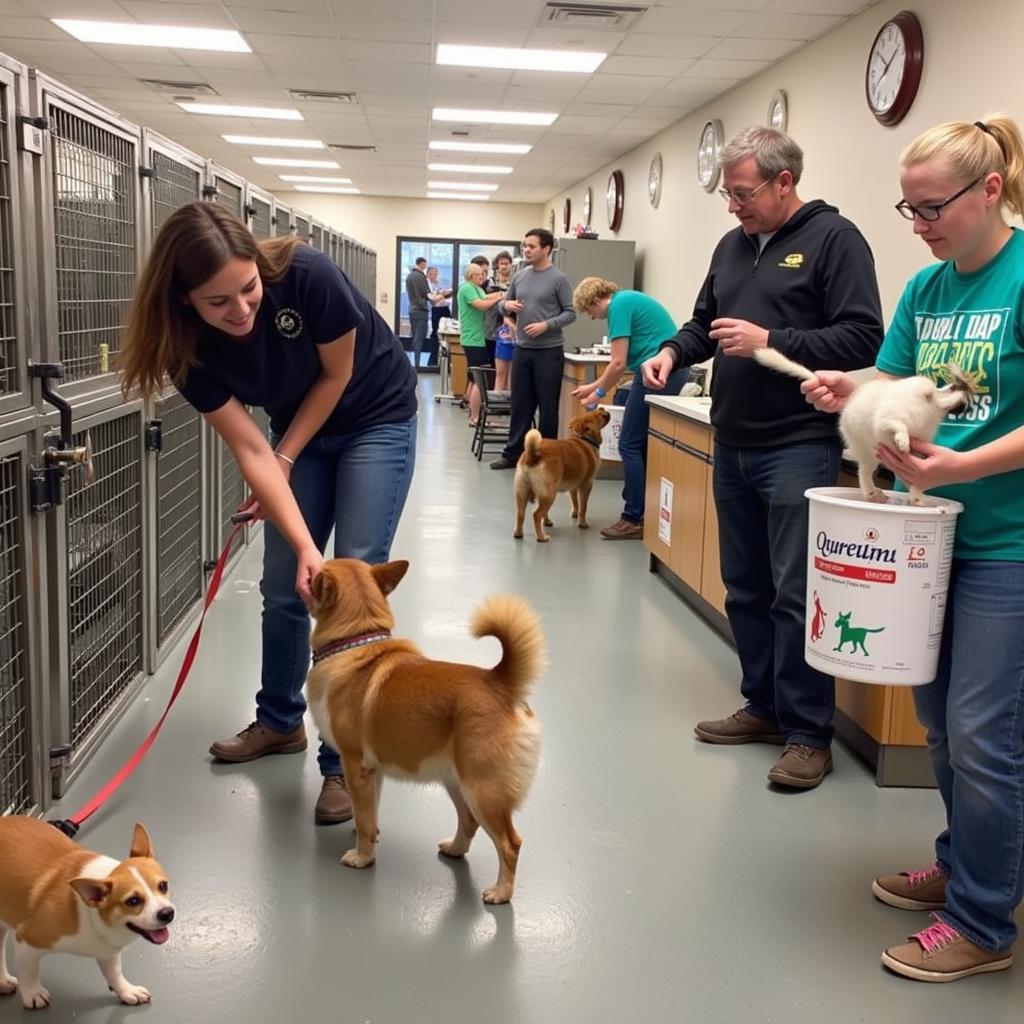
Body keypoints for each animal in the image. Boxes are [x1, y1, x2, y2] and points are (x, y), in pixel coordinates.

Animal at [303, 561, 544, 905]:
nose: (307, 572)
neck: (356, 642)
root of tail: (500, 684)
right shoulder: (373, 772)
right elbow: (369, 813)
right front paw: (370, 840)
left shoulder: (354, 765)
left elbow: (363, 817)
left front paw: (362, 857)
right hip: (456, 782)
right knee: (468, 822)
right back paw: (455, 850)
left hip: (483, 790)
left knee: (509, 844)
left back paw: (501, 891)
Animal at [512, 405, 606, 540]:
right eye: (599, 415)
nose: (602, 408)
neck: (583, 439)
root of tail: (532, 456)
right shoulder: (586, 485)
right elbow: (583, 507)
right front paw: (582, 523)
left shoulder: (573, 487)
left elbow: (575, 502)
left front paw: (573, 514)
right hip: (549, 494)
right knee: (536, 515)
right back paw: (541, 537)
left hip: (523, 492)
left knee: (521, 514)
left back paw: (519, 533)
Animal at [753, 350, 974, 505]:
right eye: (952, 388)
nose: (961, 388)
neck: (929, 411)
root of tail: (849, 404)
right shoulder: (886, 420)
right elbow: (899, 425)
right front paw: (902, 441)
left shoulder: (919, 454)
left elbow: (916, 480)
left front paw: (917, 499)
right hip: (867, 453)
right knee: (863, 473)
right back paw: (871, 493)